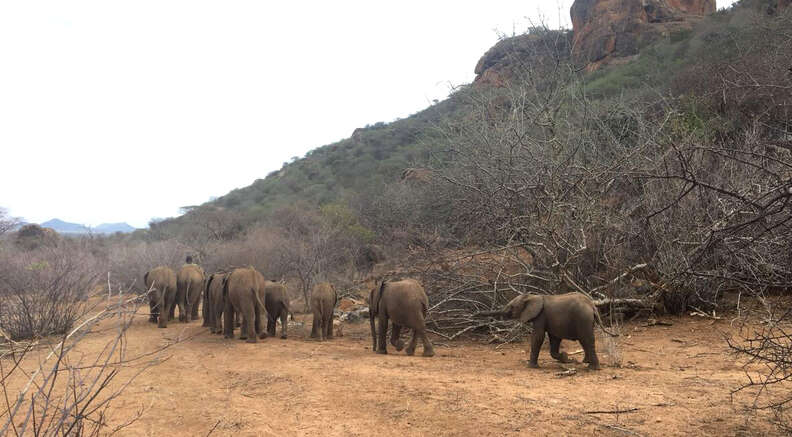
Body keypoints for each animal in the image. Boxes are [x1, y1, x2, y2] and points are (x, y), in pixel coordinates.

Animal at [476, 292, 620, 370]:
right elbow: (554, 338)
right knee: (585, 340)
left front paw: (532, 367)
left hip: (582, 317)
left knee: (586, 339)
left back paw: (592, 368)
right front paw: (567, 358)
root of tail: (592, 305)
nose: (476, 314)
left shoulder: (541, 315)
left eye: (511, 307)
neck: (532, 296)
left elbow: (538, 337)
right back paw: (585, 362)